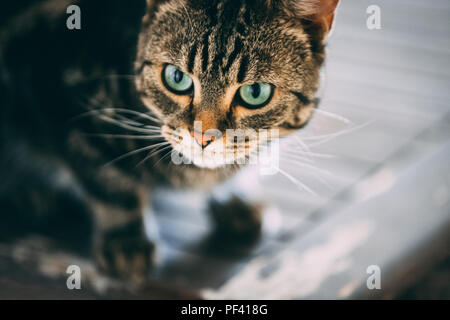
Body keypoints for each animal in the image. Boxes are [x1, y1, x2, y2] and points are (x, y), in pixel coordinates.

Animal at [0, 0, 338, 280]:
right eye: (176, 78)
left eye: (255, 93)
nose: (203, 136)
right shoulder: (66, 103)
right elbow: (110, 182)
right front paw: (126, 239)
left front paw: (235, 196)